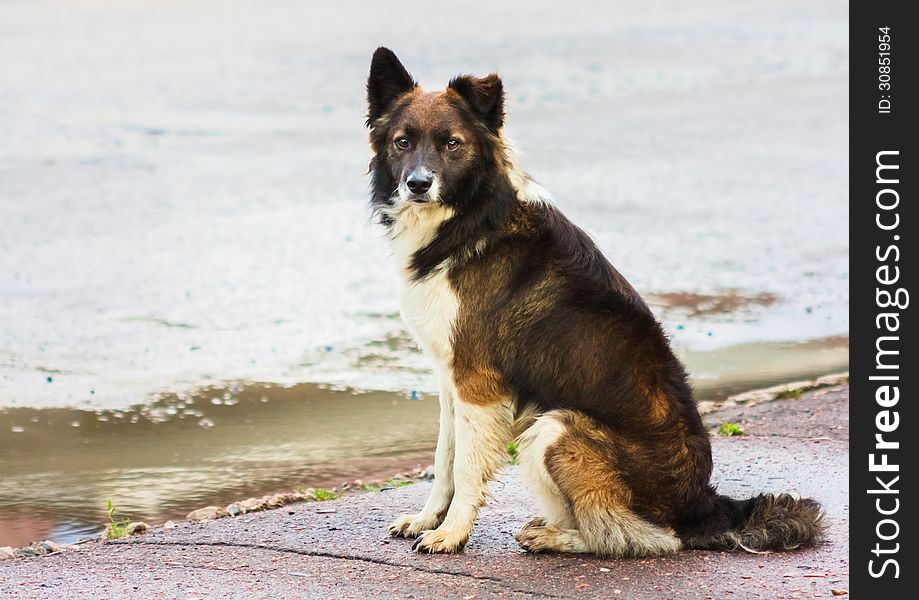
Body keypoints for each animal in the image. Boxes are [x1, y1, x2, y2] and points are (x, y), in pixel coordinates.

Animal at [362, 48, 824, 556]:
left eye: (452, 144)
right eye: (403, 142)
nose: (417, 184)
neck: (471, 217)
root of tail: (704, 507)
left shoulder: (477, 383)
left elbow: (464, 467)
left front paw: (451, 533)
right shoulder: (451, 378)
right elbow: (443, 458)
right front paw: (427, 520)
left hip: (554, 429)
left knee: (639, 536)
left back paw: (557, 538)